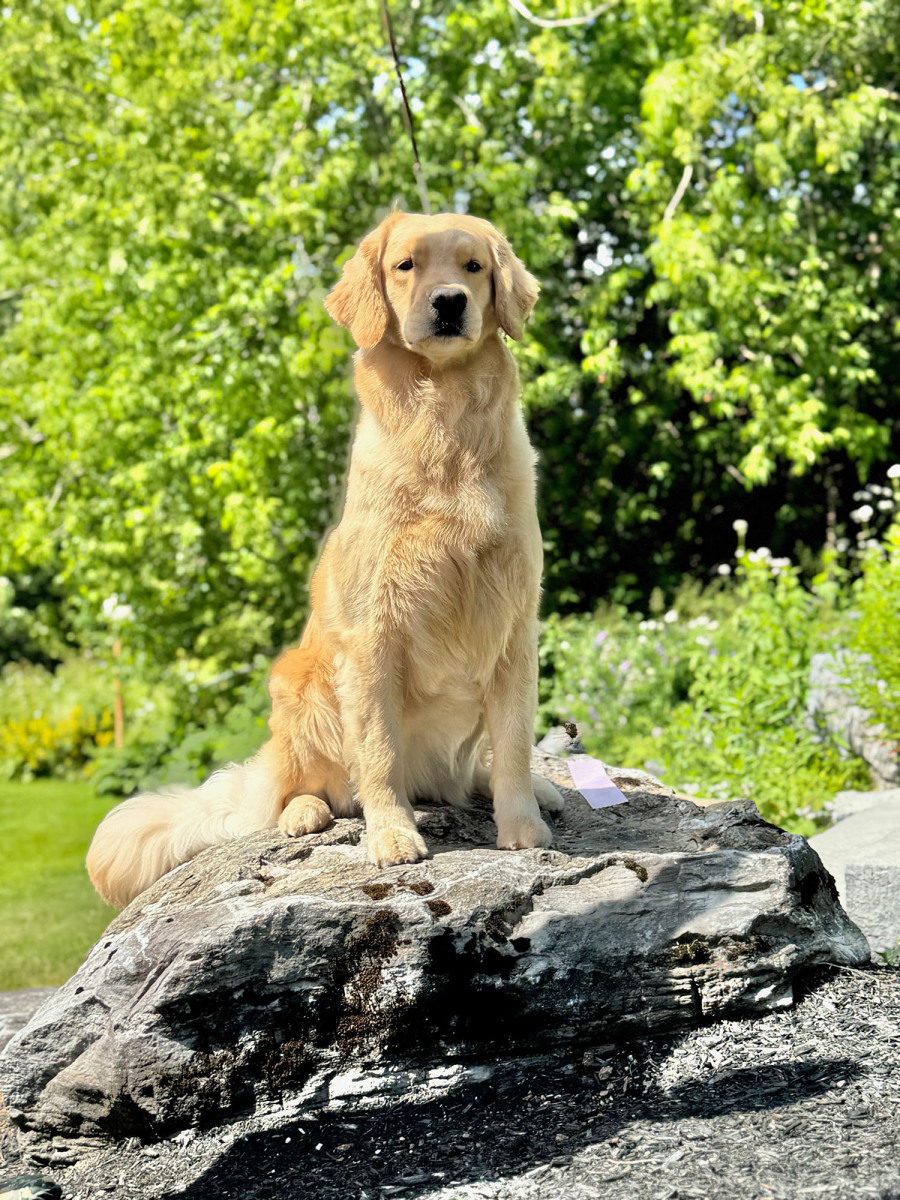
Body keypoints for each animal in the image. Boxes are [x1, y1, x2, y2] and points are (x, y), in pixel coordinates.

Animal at [87, 212, 564, 909]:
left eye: (474, 267)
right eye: (405, 266)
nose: (450, 303)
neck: (445, 413)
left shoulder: (515, 627)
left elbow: (514, 743)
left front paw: (523, 824)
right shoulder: (371, 634)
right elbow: (378, 750)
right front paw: (391, 835)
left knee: (472, 766)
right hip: (300, 686)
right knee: (304, 787)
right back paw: (304, 811)